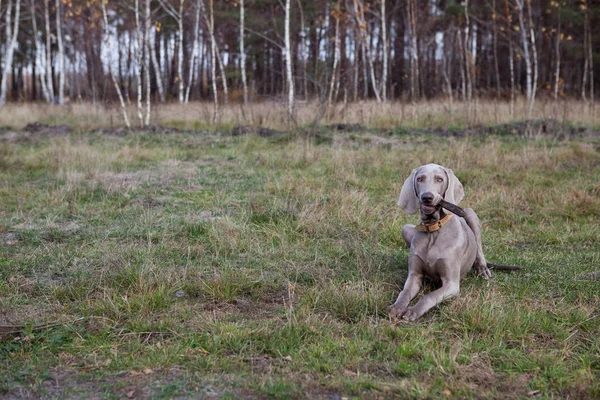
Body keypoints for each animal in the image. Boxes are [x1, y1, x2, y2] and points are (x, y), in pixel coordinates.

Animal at [390, 163, 492, 322]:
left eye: (439, 179)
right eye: (420, 179)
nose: (427, 197)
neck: (433, 230)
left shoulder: (451, 284)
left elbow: (429, 297)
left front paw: (413, 311)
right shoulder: (414, 276)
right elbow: (404, 292)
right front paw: (397, 307)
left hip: (470, 213)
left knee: (479, 250)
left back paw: (482, 269)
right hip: (405, 228)